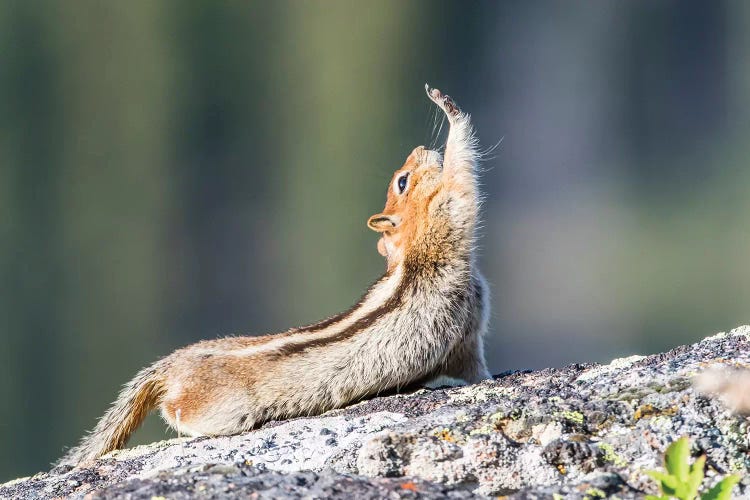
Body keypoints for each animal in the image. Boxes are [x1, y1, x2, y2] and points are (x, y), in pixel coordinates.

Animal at [60, 85, 494, 464]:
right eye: (402, 181)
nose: (420, 149)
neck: (411, 252)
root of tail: (169, 366)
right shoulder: (447, 221)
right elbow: (462, 182)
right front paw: (449, 109)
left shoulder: (467, 334)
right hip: (221, 409)